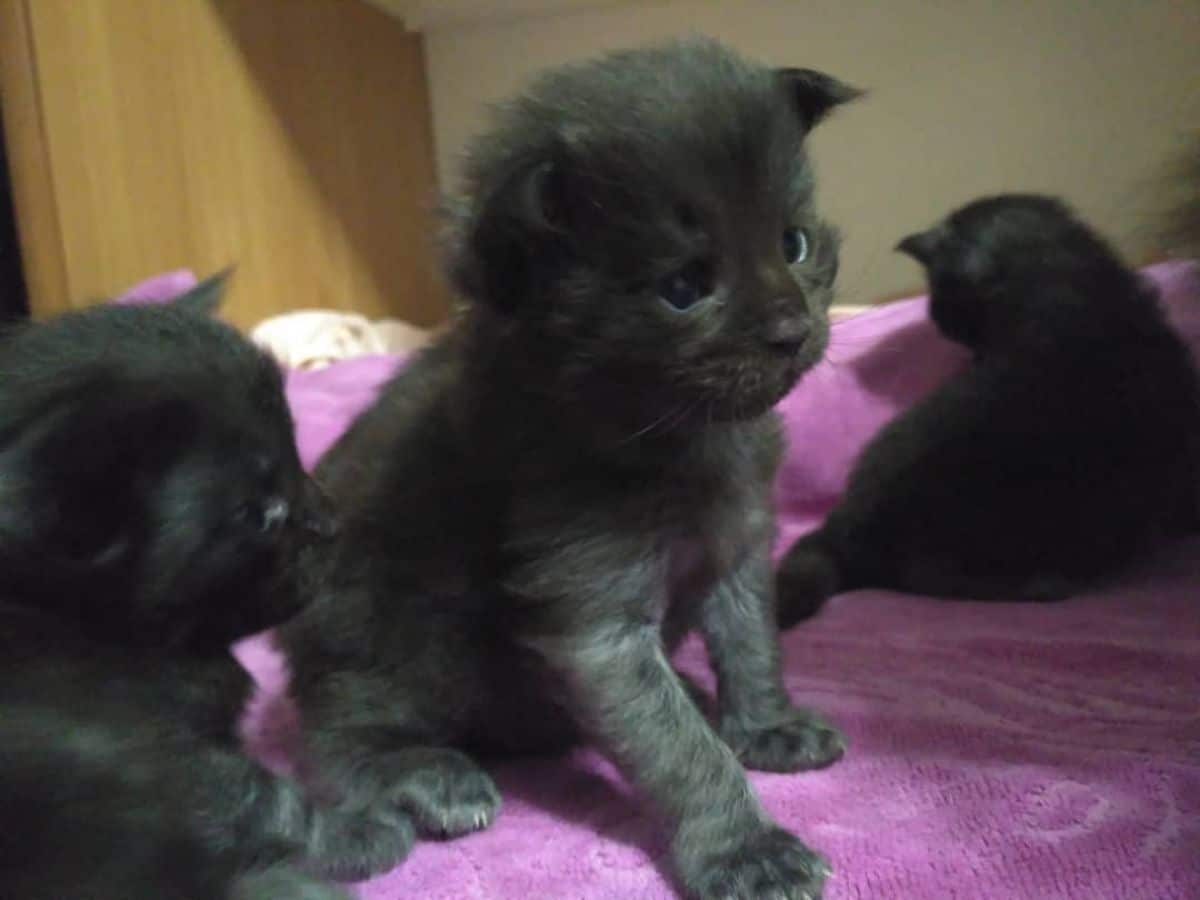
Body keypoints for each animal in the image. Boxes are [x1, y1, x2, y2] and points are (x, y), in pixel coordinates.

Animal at [0, 278, 412, 897]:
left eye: (296, 455)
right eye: (262, 514)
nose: (332, 521)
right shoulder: (162, 757)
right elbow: (266, 799)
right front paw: (362, 830)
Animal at [284, 38, 859, 897]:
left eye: (792, 243)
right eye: (683, 287)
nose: (793, 331)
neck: (681, 434)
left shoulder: (739, 548)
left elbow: (752, 643)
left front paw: (766, 724)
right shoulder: (592, 618)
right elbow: (677, 747)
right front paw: (741, 846)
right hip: (386, 625)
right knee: (333, 735)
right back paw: (427, 773)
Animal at [777, 194, 1200, 628]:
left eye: (945, 311)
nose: (956, 339)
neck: (1073, 287)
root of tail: (841, 530)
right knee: (928, 575)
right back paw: (1042, 585)